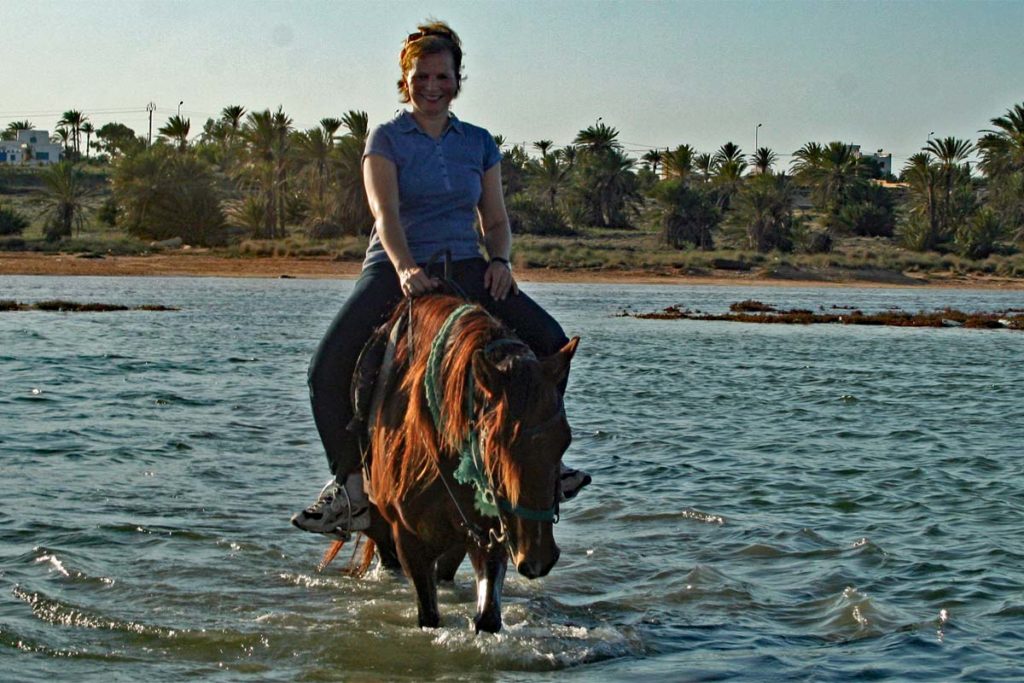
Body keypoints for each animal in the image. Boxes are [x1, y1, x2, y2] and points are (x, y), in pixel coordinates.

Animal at [323, 293, 579, 633]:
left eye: (565, 439)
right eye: (495, 443)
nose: (537, 557)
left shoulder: (492, 533)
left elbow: (487, 618)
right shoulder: (410, 542)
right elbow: (429, 617)